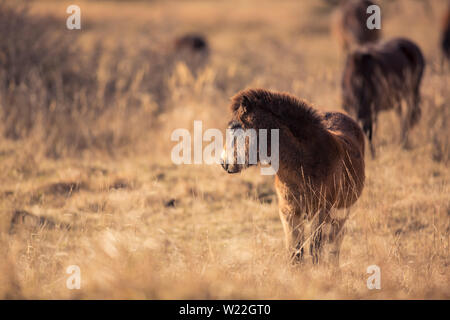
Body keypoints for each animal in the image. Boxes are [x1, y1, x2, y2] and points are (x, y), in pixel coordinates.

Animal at [221, 88, 366, 264]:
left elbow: (315, 250)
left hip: (341, 212)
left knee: (335, 243)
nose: (224, 162)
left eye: (237, 129)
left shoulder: (321, 213)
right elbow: (295, 252)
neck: (304, 161)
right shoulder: (289, 212)